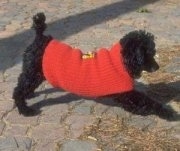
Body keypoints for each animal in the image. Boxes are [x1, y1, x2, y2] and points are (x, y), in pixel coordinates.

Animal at [12, 12, 174, 119]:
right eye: (149, 54)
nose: (157, 67)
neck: (120, 61)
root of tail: (41, 38)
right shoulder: (126, 95)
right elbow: (147, 102)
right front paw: (167, 112)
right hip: (33, 73)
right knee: (18, 91)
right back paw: (25, 109)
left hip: (34, 73)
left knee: (23, 85)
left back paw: (30, 95)